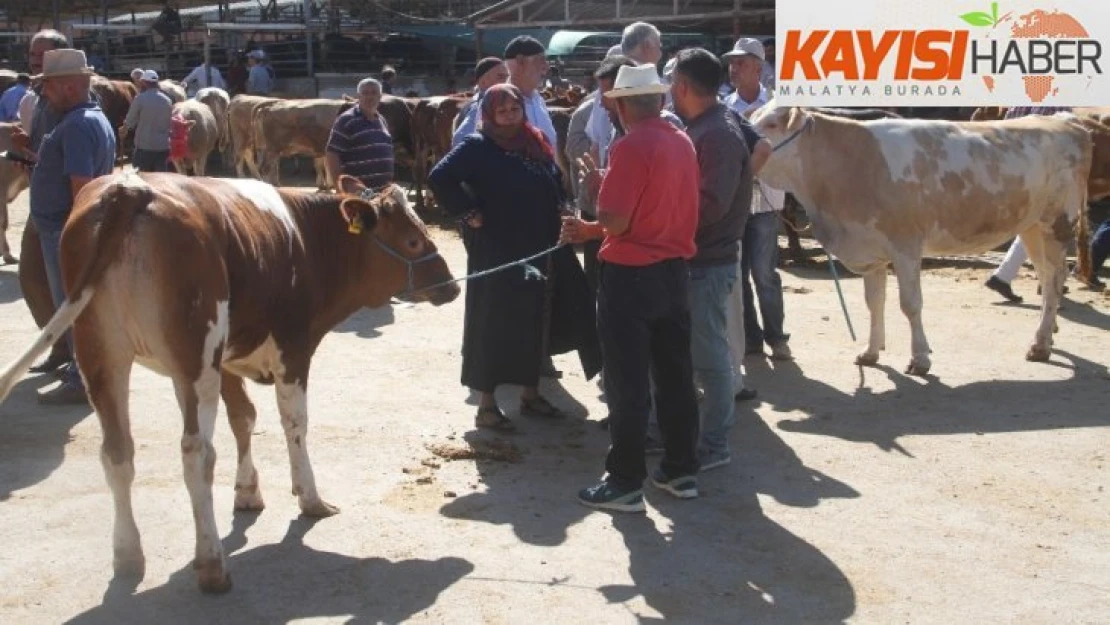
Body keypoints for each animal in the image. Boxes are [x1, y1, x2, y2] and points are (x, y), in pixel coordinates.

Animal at [0, 173, 459, 595]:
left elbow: (243, 417)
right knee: (196, 453)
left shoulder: (227, 360)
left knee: (117, 453)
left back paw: (128, 556)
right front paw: (309, 498)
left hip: (104, 354)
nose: (453, 285)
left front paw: (247, 490)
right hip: (192, 356)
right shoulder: (292, 348)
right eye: (413, 240)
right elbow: (294, 423)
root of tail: (129, 188)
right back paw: (211, 565)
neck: (308, 239)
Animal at [745, 103, 1092, 377]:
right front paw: (870, 352)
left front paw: (920, 358)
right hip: (1031, 226)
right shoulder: (870, 249)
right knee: (1046, 277)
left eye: (772, 124)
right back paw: (1046, 337)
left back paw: (1041, 343)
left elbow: (910, 304)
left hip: (1057, 224)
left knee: (1055, 279)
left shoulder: (906, 245)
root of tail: (1065, 121)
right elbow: (874, 302)